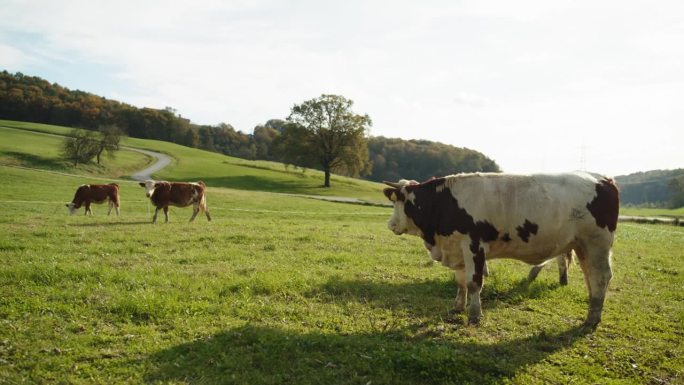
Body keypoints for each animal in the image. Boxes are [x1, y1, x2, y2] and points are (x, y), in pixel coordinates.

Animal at [384, 172, 620, 326]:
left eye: (397, 201)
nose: (390, 225)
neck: (445, 202)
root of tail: (604, 179)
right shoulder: (457, 249)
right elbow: (460, 282)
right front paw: (458, 307)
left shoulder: (473, 246)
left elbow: (473, 283)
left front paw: (474, 315)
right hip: (582, 246)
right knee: (590, 277)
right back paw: (593, 310)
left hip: (597, 243)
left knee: (601, 277)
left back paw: (592, 319)